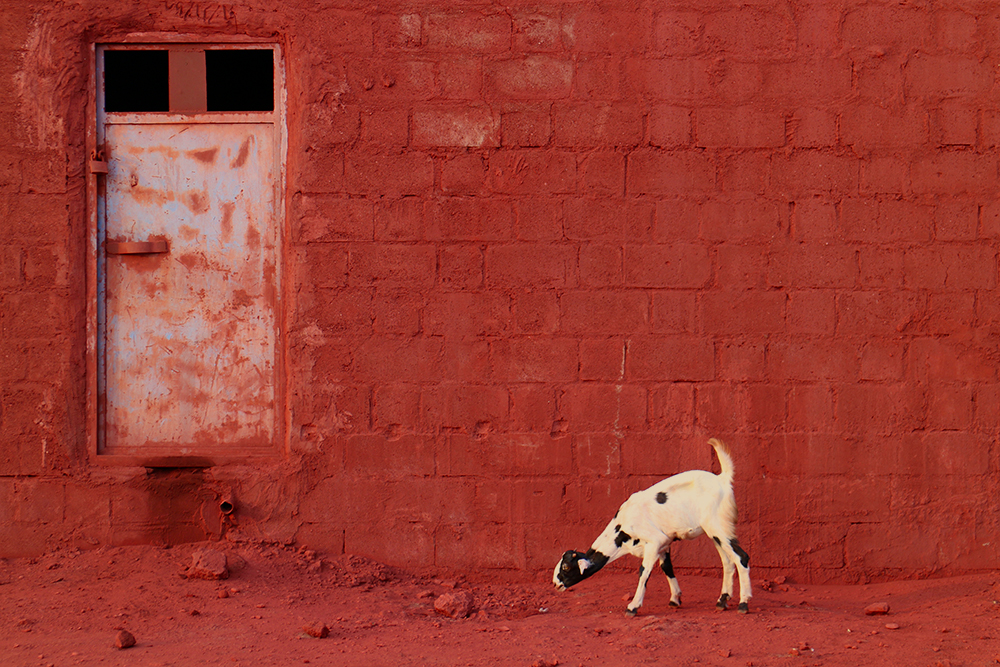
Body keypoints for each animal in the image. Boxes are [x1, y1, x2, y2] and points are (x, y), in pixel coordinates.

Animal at [553, 438, 751, 617]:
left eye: (566, 568)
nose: (555, 584)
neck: (622, 527)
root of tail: (722, 479)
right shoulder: (664, 544)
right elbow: (667, 568)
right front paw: (675, 599)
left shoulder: (654, 542)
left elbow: (644, 572)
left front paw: (633, 607)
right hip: (716, 531)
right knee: (728, 561)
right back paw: (722, 601)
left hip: (718, 527)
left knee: (741, 557)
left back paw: (744, 603)